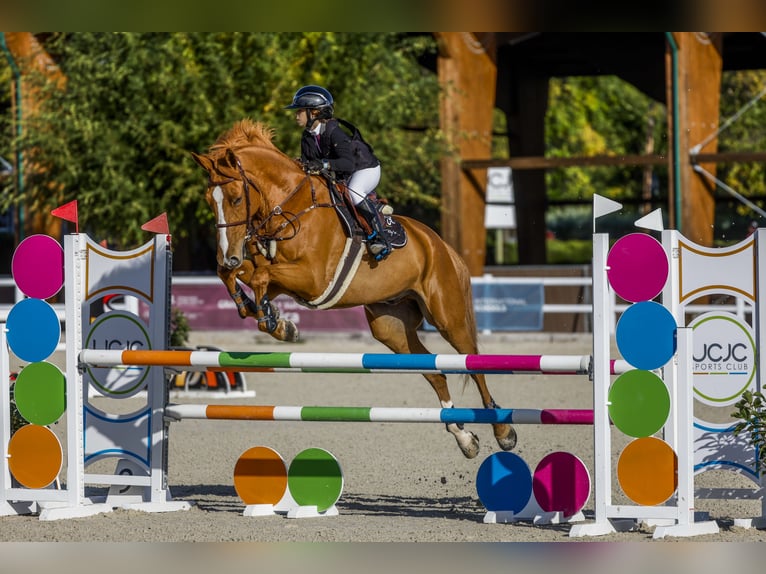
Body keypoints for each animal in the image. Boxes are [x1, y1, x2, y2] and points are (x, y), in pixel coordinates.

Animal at [190, 119, 516, 462]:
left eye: (236, 199)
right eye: (209, 200)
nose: (228, 254)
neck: (291, 205)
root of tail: (440, 244)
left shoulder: (312, 279)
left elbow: (258, 277)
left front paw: (274, 319)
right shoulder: (279, 276)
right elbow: (237, 275)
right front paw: (274, 321)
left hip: (447, 318)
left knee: (473, 363)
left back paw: (503, 431)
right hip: (391, 328)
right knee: (434, 372)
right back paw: (465, 438)